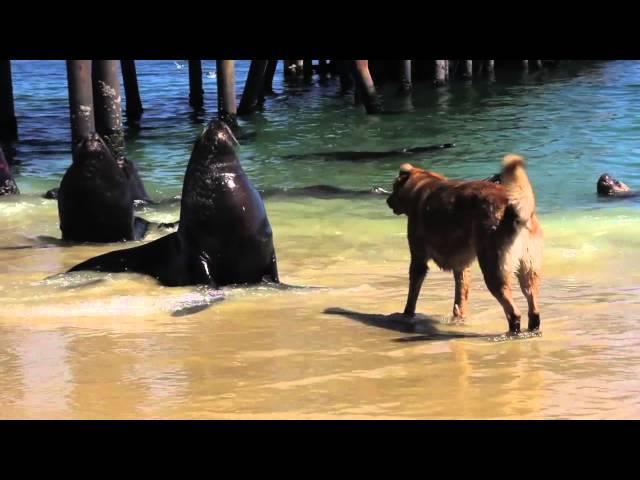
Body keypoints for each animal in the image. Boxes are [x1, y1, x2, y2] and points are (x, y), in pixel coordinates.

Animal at [388, 155, 544, 334]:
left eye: (393, 188)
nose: (387, 200)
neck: (422, 182)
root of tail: (513, 210)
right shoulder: (462, 266)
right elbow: (460, 299)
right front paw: (459, 319)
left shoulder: (418, 260)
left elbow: (412, 296)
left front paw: (406, 315)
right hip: (529, 270)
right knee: (534, 310)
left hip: (494, 270)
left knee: (514, 312)